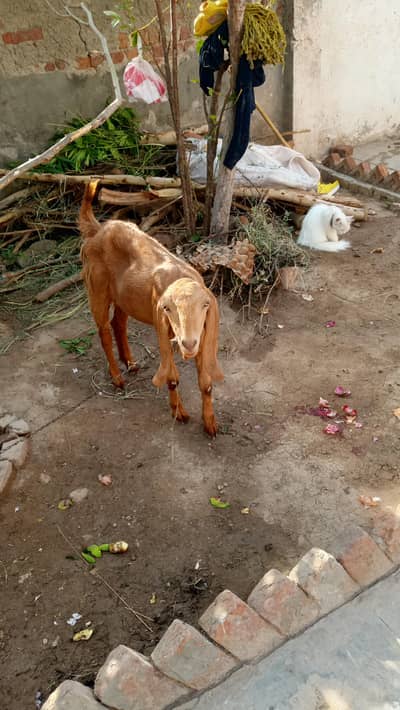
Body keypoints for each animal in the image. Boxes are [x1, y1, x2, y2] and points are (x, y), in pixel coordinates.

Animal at [79, 181, 223, 436]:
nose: (187, 343)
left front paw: (210, 424)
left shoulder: (203, 334)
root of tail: (97, 229)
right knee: (103, 330)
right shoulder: (162, 329)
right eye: (168, 308)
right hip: (97, 287)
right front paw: (179, 413)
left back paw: (131, 363)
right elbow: (172, 378)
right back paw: (117, 378)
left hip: (125, 297)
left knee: (118, 322)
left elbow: (206, 383)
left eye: (205, 306)